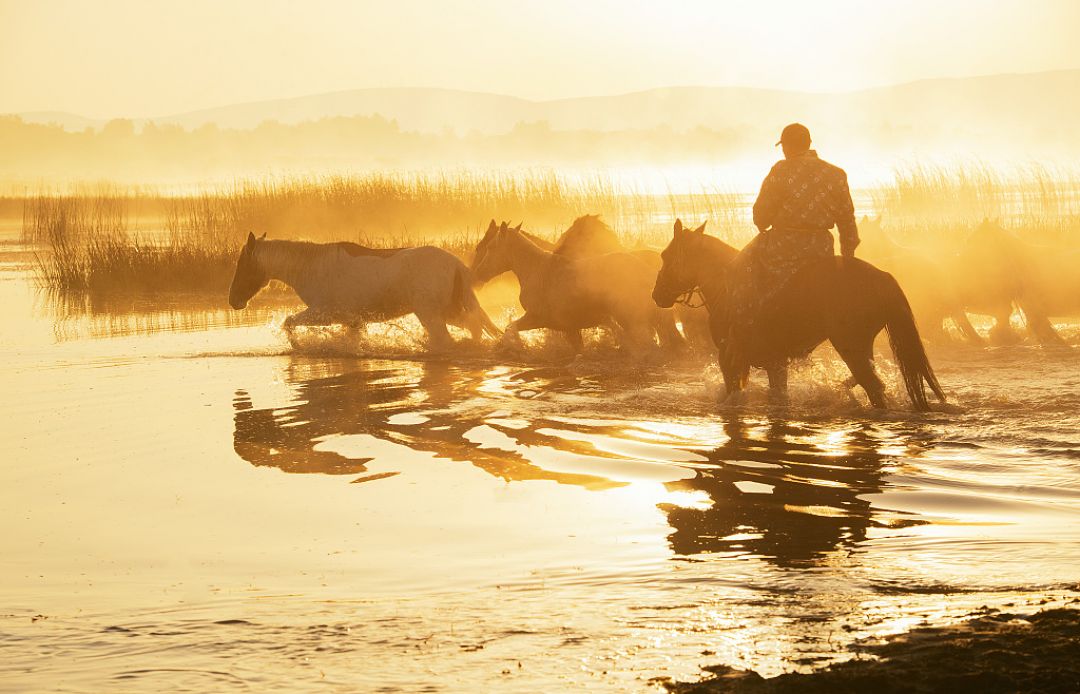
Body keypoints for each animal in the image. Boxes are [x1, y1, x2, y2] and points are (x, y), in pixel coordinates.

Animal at [230, 233, 498, 354]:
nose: (233, 300)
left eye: (242, 265)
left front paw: (298, 347)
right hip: (448, 312)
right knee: (473, 328)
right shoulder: (352, 320)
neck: (310, 267)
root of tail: (457, 265)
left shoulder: (325, 313)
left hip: (431, 314)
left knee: (449, 340)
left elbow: (288, 322)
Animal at [473, 221, 665, 354]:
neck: (537, 270)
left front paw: (514, 346)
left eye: (490, 246)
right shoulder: (570, 328)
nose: (478, 274)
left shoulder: (537, 318)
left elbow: (510, 328)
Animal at [648, 220, 946, 410]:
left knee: (873, 387)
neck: (726, 285)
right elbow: (778, 395)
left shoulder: (730, 358)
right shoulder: (775, 362)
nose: (657, 294)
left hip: (851, 346)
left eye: (666, 256)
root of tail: (882, 276)